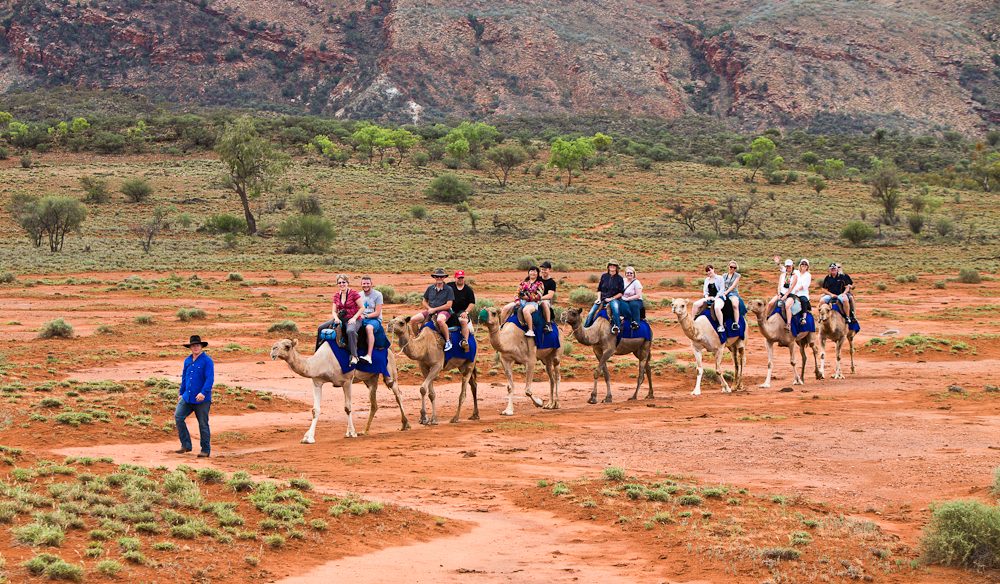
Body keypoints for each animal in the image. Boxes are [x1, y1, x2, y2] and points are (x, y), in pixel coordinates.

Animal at [268, 338, 408, 442]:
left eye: (287, 346)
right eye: (275, 344)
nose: (273, 351)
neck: (321, 361)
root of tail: (389, 350)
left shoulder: (347, 380)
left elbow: (348, 407)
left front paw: (351, 433)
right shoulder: (317, 382)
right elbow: (315, 410)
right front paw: (308, 437)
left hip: (389, 369)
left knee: (397, 392)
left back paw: (405, 424)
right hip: (370, 378)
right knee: (374, 402)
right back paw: (365, 431)